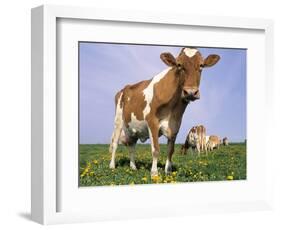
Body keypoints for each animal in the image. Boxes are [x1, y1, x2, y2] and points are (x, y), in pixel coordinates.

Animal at [108, 47, 220, 176]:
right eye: (179, 65)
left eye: (201, 65)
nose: (191, 92)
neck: (173, 109)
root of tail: (124, 88)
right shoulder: (152, 122)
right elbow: (156, 149)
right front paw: (154, 173)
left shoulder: (175, 125)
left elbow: (170, 151)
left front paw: (168, 171)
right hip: (118, 122)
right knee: (115, 143)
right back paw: (112, 166)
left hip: (133, 128)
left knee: (131, 146)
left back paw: (133, 167)